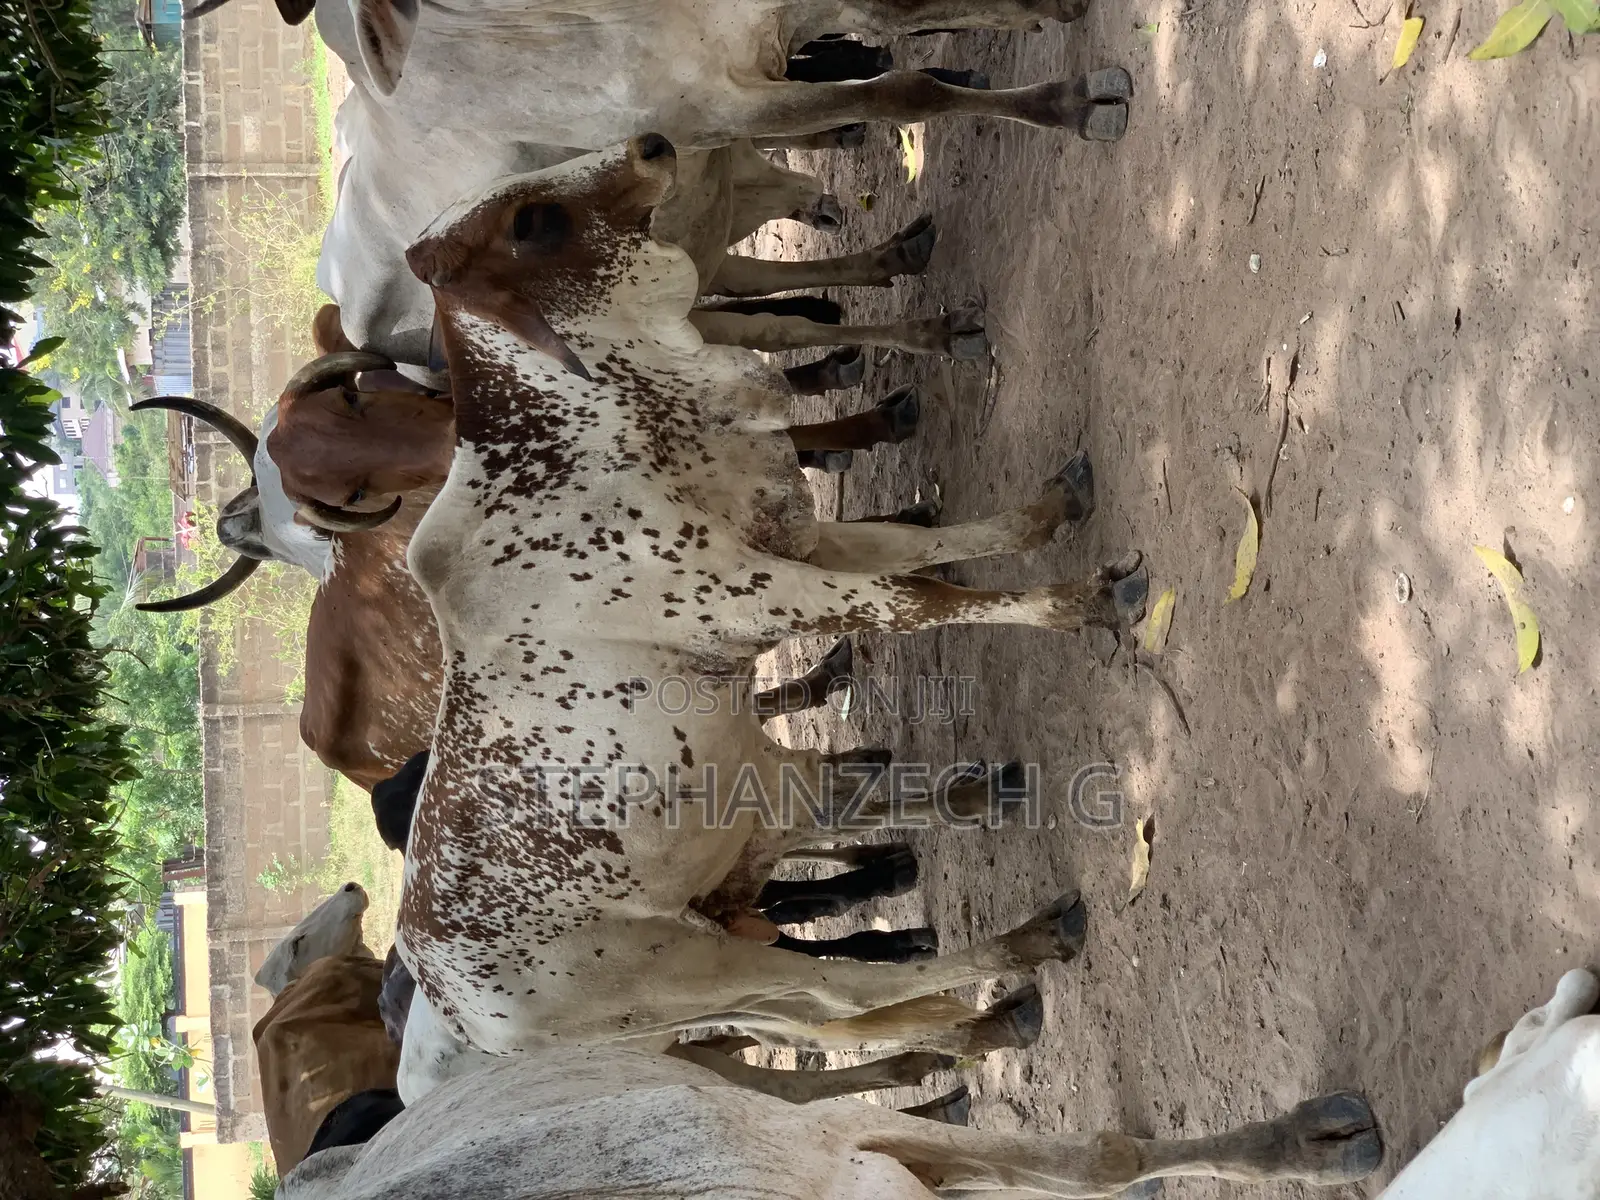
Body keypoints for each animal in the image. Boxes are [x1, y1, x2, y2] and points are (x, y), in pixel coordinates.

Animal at [375, 134, 1145, 1062]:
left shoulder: (802, 544)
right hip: (700, 967)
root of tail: (463, 1012)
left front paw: (1049, 513)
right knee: (838, 991)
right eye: (530, 222)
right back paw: (1024, 945)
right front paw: (1076, 602)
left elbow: (934, 552)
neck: (617, 432)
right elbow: (917, 596)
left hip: (750, 812)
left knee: (825, 930)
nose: (652, 143)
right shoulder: (764, 592)